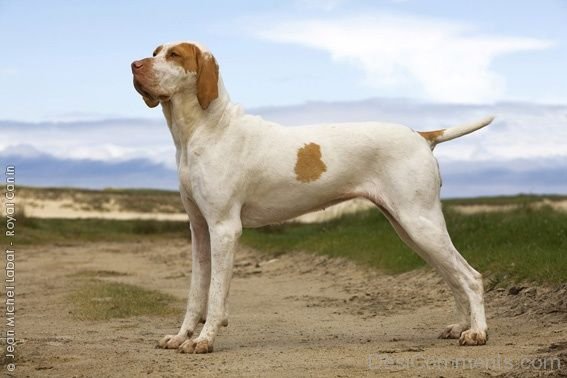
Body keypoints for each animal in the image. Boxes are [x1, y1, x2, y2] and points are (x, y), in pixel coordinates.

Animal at [132, 41, 492, 354]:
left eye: (174, 55)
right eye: (155, 51)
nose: (134, 65)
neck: (205, 130)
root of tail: (421, 135)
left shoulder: (223, 228)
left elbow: (216, 294)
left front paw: (204, 340)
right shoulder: (199, 230)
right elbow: (196, 294)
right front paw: (182, 336)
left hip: (420, 223)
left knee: (470, 277)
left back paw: (476, 332)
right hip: (410, 228)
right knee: (453, 277)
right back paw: (460, 327)